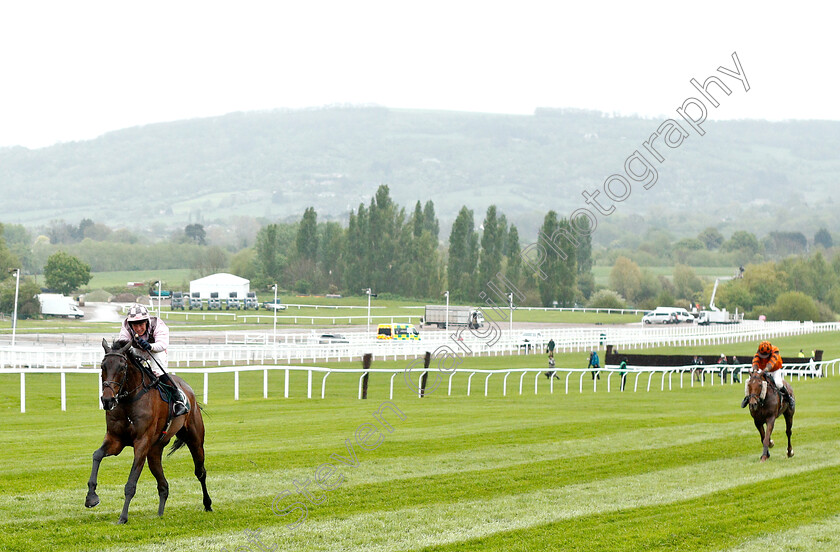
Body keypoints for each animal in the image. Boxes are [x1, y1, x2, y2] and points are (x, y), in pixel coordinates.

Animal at [84, 338, 213, 524]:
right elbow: (97, 455)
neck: (129, 401)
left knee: (200, 472)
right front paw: (91, 497)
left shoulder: (142, 443)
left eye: (122, 367)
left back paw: (207, 504)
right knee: (163, 485)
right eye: (103, 366)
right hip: (154, 451)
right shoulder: (115, 440)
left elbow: (131, 483)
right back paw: (159, 514)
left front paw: (123, 517)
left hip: (195, 439)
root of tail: (188, 390)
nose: (107, 400)